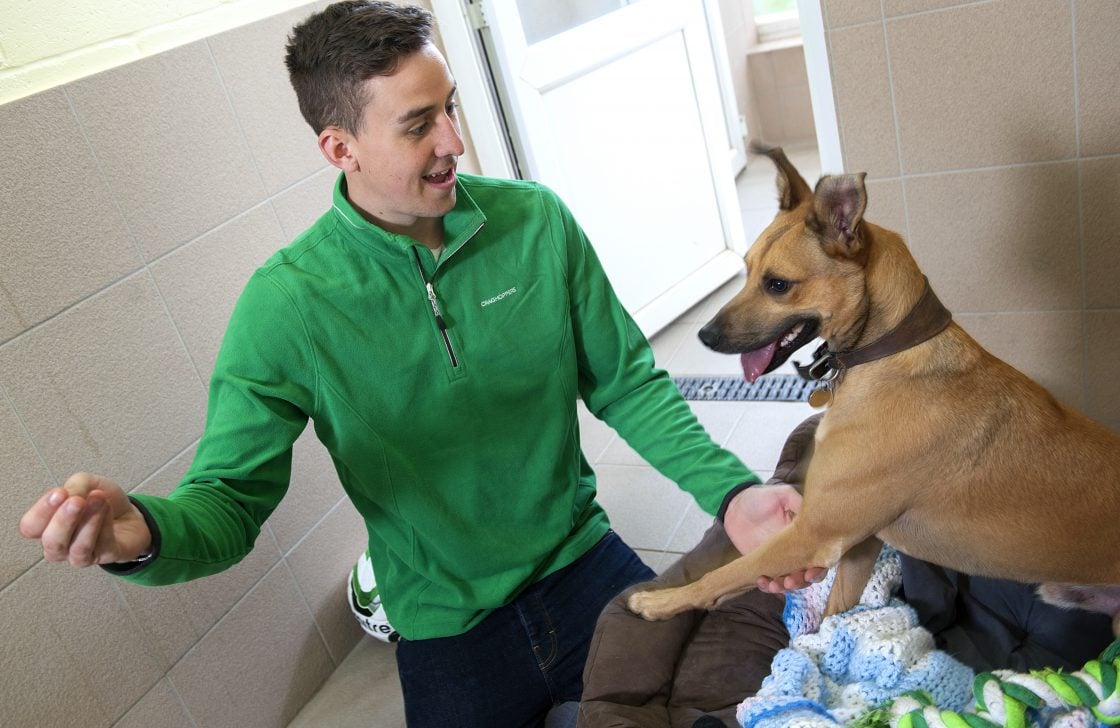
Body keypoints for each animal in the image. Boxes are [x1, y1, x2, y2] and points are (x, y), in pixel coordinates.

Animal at [631, 145, 1120, 627]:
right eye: (746, 270)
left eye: (777, 285)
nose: (704, 336)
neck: (886, 353)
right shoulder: (858, 545)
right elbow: (833, 613)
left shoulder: (812, 534)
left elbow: (723, 574)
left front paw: (662, 601)